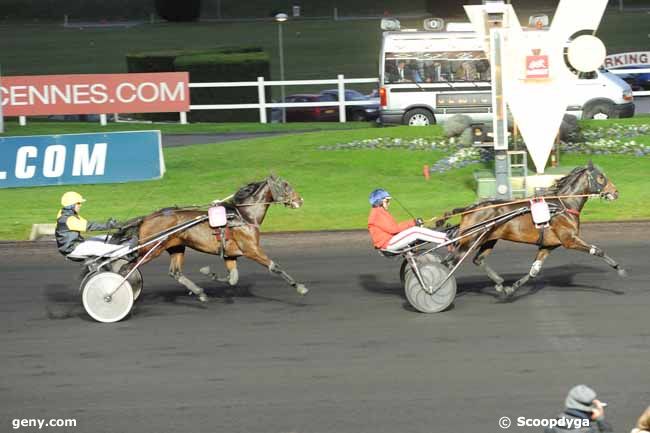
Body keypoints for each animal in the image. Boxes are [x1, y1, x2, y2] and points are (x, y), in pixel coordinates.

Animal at [112, 175, 308, 300]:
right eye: (286, 185)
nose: (300, 200)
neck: (243, 216)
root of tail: (146, 218)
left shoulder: (230, 254)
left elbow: (232, 278)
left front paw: (209, 273)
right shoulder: (251, 250)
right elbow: (275, 267)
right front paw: (300, 287)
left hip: (176, 246)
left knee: (175, 272)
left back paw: (199, 292)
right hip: (151, 249)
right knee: (126, 268)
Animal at [440, 160, 624, 298]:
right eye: (600, 177)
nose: (615, 192)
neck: (563, 205)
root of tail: (470, 208)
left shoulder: (548, 245)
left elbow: (534, 270)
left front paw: (511, 288)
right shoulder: (569, 240)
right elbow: (597, 251)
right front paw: (620, 269)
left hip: (489, 239)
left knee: (478, 260)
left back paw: (499, 282)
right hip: (469, 240)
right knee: (448, 263)